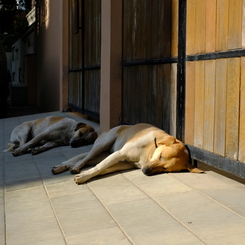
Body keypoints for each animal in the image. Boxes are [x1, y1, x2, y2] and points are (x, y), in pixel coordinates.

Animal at [52, 124, 203, 184]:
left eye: (165, 169)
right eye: (160, 156)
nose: (145, 171)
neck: (148, 151)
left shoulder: (123, 164)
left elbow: (102, 169)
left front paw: (86, 174)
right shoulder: (119, 154)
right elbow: (99, 167)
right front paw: (84, 176)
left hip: (104, 153)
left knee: (85, 159)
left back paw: (62, 167)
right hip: (102, 145)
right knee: (85, 158)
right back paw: (74, 167)